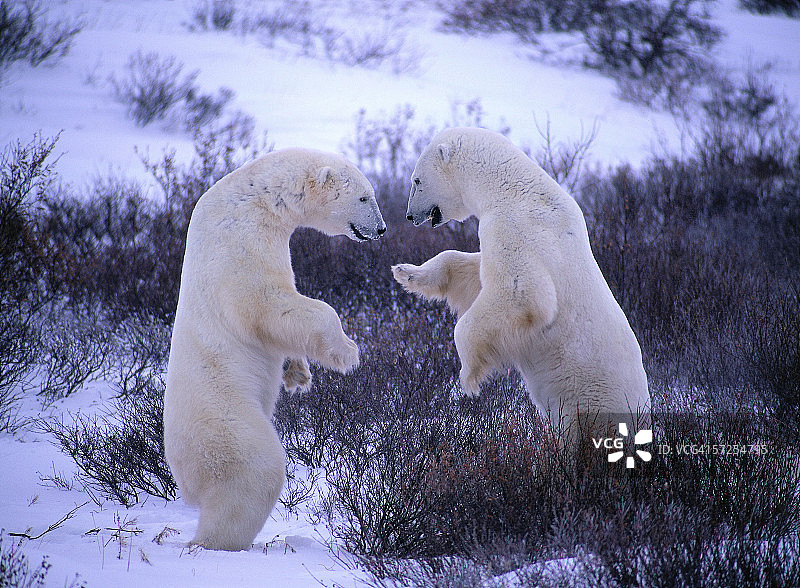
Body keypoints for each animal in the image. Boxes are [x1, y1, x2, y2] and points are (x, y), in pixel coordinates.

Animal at [164, 148, 385, 551]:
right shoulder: (238, 241)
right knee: (253, 473)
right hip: (225, 422)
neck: (258, 197)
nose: (380, 229)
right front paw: (347, 352)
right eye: (364, 197)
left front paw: (299, 375)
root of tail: (183, 480)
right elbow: (269, 303)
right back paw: (216, 542)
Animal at [392, 127, 649, 439]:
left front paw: (469, 378)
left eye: (416, 180)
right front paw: (406, 272)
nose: (409, 215)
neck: (511, 189)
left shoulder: (515, 229)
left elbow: (523, 294)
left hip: (597, 400)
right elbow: (472, 271)